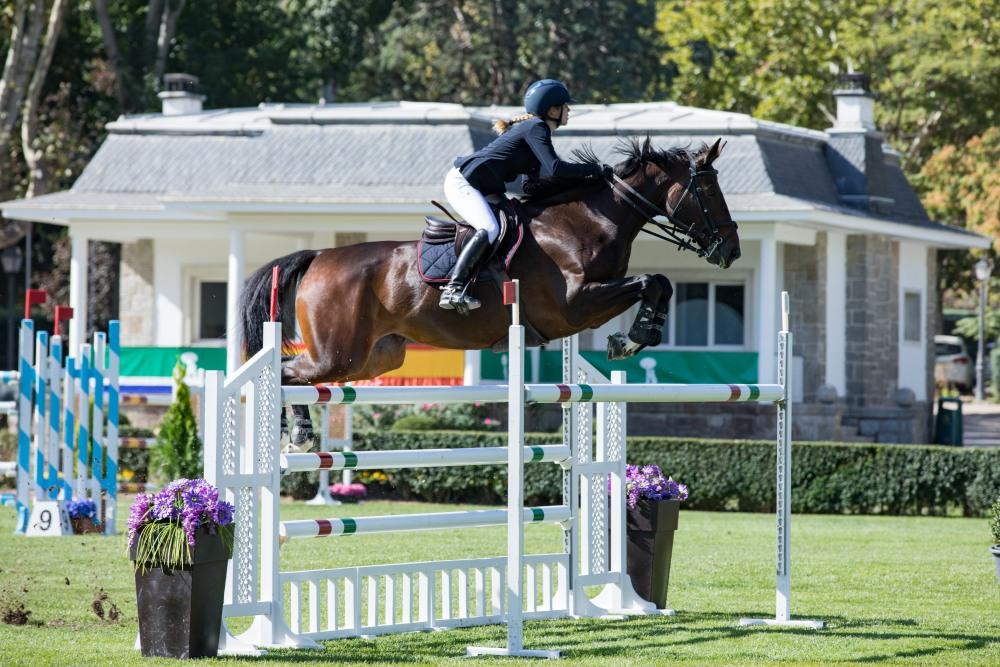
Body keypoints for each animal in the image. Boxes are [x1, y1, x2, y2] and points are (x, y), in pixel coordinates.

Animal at [240, 137, 744, 444]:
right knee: (287, 372)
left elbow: (660, 283)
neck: (586, 221)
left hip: (375, 357)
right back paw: (298, 431)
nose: (732, 250)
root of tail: (320, 256)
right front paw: (632, 338)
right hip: (337, 354)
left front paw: (639, 335)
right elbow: (651, 281)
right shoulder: (574, 305)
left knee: (299, 374)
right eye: (709, 192)